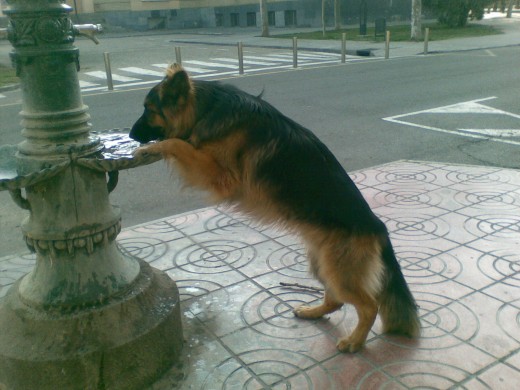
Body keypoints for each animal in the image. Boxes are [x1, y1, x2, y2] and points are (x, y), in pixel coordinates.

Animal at [130, 64, 418, 354]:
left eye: (148, 109)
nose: (131, 135)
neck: (207, 108)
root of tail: (378, 226)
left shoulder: (220, 175)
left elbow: (178, 144)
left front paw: (151, 148)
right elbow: (180, 144)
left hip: (340, 271)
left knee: (369, 306)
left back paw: (355, 341)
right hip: (323, 265)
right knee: (336, 300)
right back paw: (313, 312)